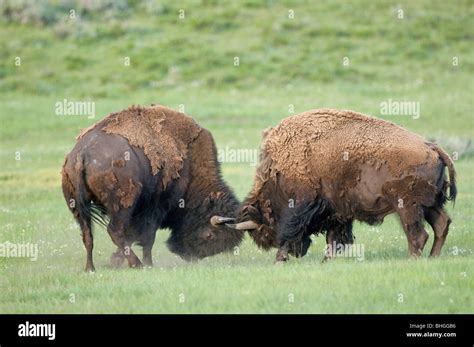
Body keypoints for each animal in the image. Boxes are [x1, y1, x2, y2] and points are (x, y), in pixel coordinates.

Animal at [61, 104, 243, 274]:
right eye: (209, 235)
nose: (188, 255)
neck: (190, 164)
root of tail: (82, 153)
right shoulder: (155, 207)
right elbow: (147, 237)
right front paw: (147, 263)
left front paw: (114, 261)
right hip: (122, 206)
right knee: (114, 231)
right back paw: (137, 264)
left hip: (77, 207)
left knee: (88, 235)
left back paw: (90, 268)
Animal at [220, 110, 458, 262]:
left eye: (263, 226)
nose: (297, 253)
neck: (279, 171)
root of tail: (432, 147)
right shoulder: (338, 212)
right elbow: (333, 239)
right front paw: (326, 261)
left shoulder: (299, 208)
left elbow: (290, 232)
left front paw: (281, 258)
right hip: (429, 205)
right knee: (441, 225)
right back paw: (433, 257)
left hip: (407, 207)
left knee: (418, 234)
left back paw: (413, 259)